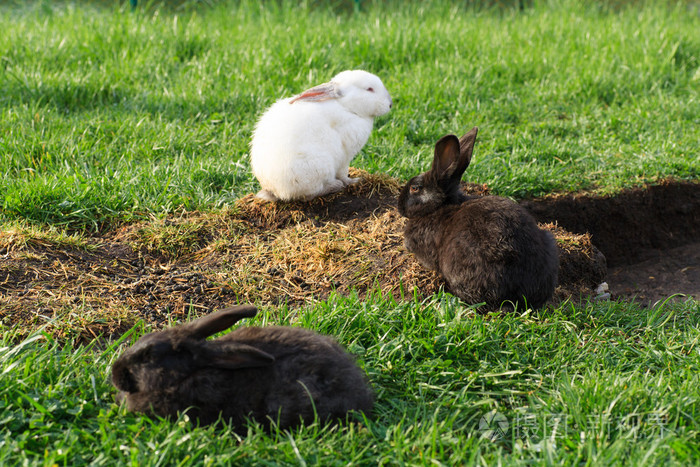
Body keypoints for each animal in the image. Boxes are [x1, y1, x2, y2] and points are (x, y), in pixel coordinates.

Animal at [250, 70, 394, 202]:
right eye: (369, 89)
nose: (390, 104)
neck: (347, 107)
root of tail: (275, 190)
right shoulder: (345, 158)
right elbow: (343, 174)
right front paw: (355, 181)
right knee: (310, 194)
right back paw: (335, 185)